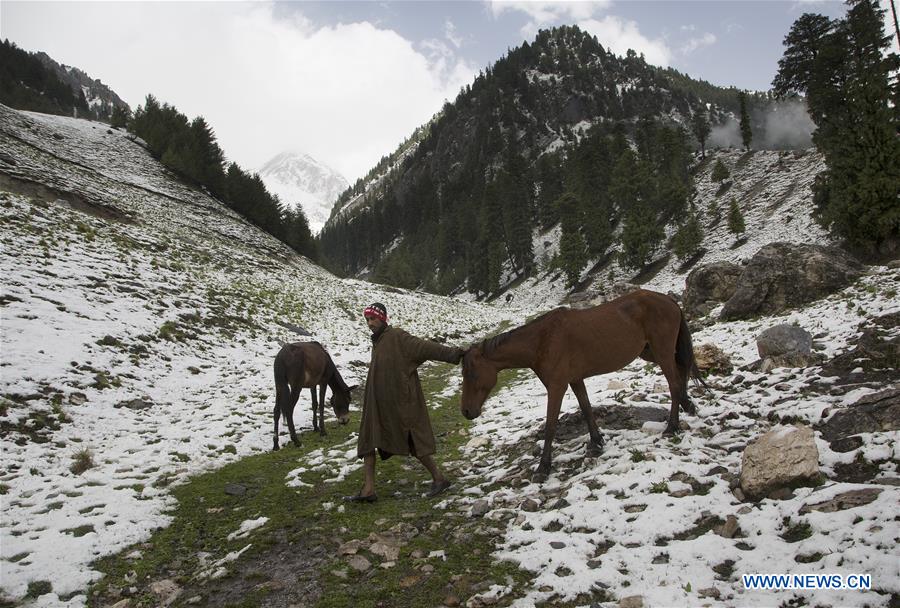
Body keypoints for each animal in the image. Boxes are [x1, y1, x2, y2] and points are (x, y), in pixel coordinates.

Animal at [460, 288, 708, 482]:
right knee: (681, 372)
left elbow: (551, 426)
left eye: (472, 374)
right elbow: (587, 408)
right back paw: (688, 405)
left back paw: (672, 426)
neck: (542, 340)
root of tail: (668, 300)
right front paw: (597, 442)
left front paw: (543, 467)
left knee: (674, 383)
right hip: (651, 352)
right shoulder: (575, 380)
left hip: (661, 351)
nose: (466, 411)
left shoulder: (557, 386)